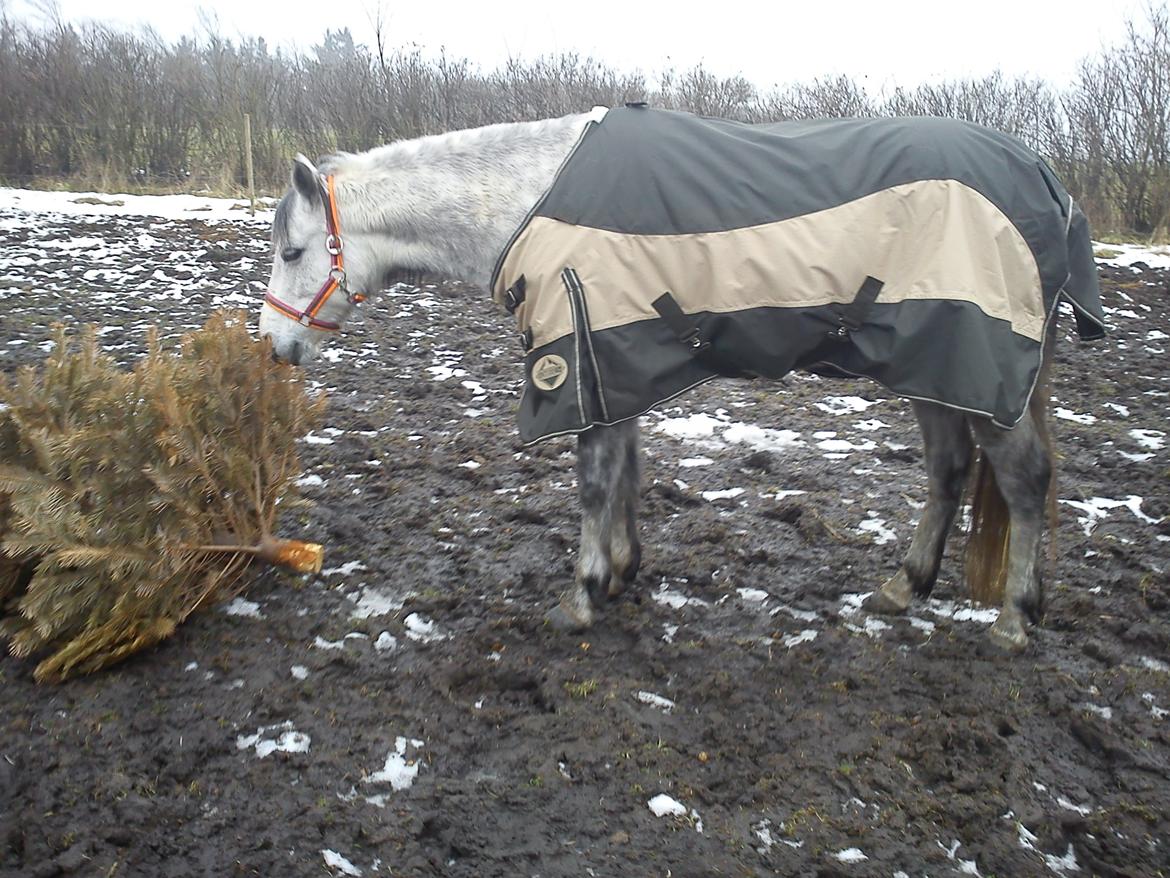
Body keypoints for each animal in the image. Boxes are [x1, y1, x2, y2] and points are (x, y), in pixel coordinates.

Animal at [258, 106, 1105, 653]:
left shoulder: (582, 359)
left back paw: (1014, 620)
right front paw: (621, 572)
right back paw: (907, 587)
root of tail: (1046, 180)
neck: (536, 198)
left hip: (980, 374)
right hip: (936, 369)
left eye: (293, 252)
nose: (274, 347)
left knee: (1024, 479)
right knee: (949, 470)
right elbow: (627, 475)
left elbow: (595, 483)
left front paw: (582, 593)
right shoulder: (615, 358)